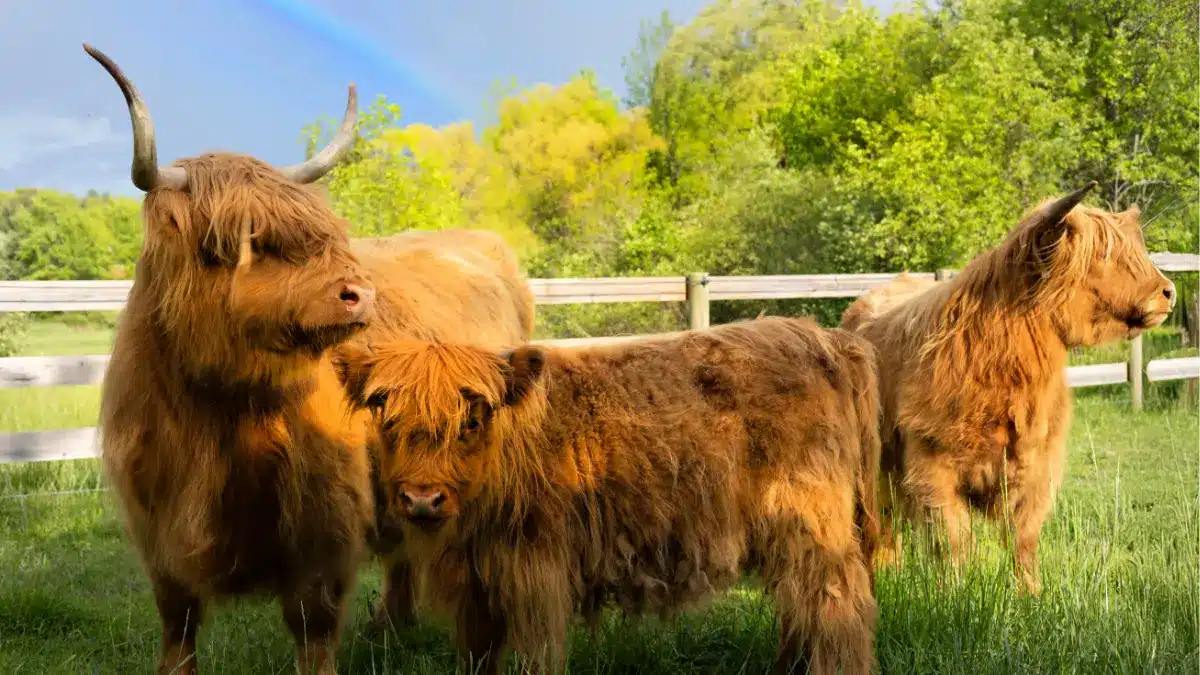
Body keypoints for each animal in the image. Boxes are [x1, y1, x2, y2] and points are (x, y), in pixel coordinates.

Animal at [86, 44, 376, 675]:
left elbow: (313, 625)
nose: (361, 293)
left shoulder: (325, 528)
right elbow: (178, 621)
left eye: (323, 233)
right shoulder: (155, 530)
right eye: (245, 241)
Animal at [335, 316, 882, 675]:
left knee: (837, 606)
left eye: (472, 420)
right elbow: (478, 654)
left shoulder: (536, 571)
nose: (422, 499)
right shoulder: (476, 586)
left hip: (811, 522)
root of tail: (823, 337)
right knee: (802, 608)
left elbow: (537, 652)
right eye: (387, 416)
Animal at [839, 182, 1177, 595]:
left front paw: (1031, 594)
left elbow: (1024, 539)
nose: (1168, 291)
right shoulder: (931, 463)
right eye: (1102, 254)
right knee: (880, 522)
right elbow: (953, 540)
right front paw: (953, 594)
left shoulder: (1039, 466)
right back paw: (884, 571)